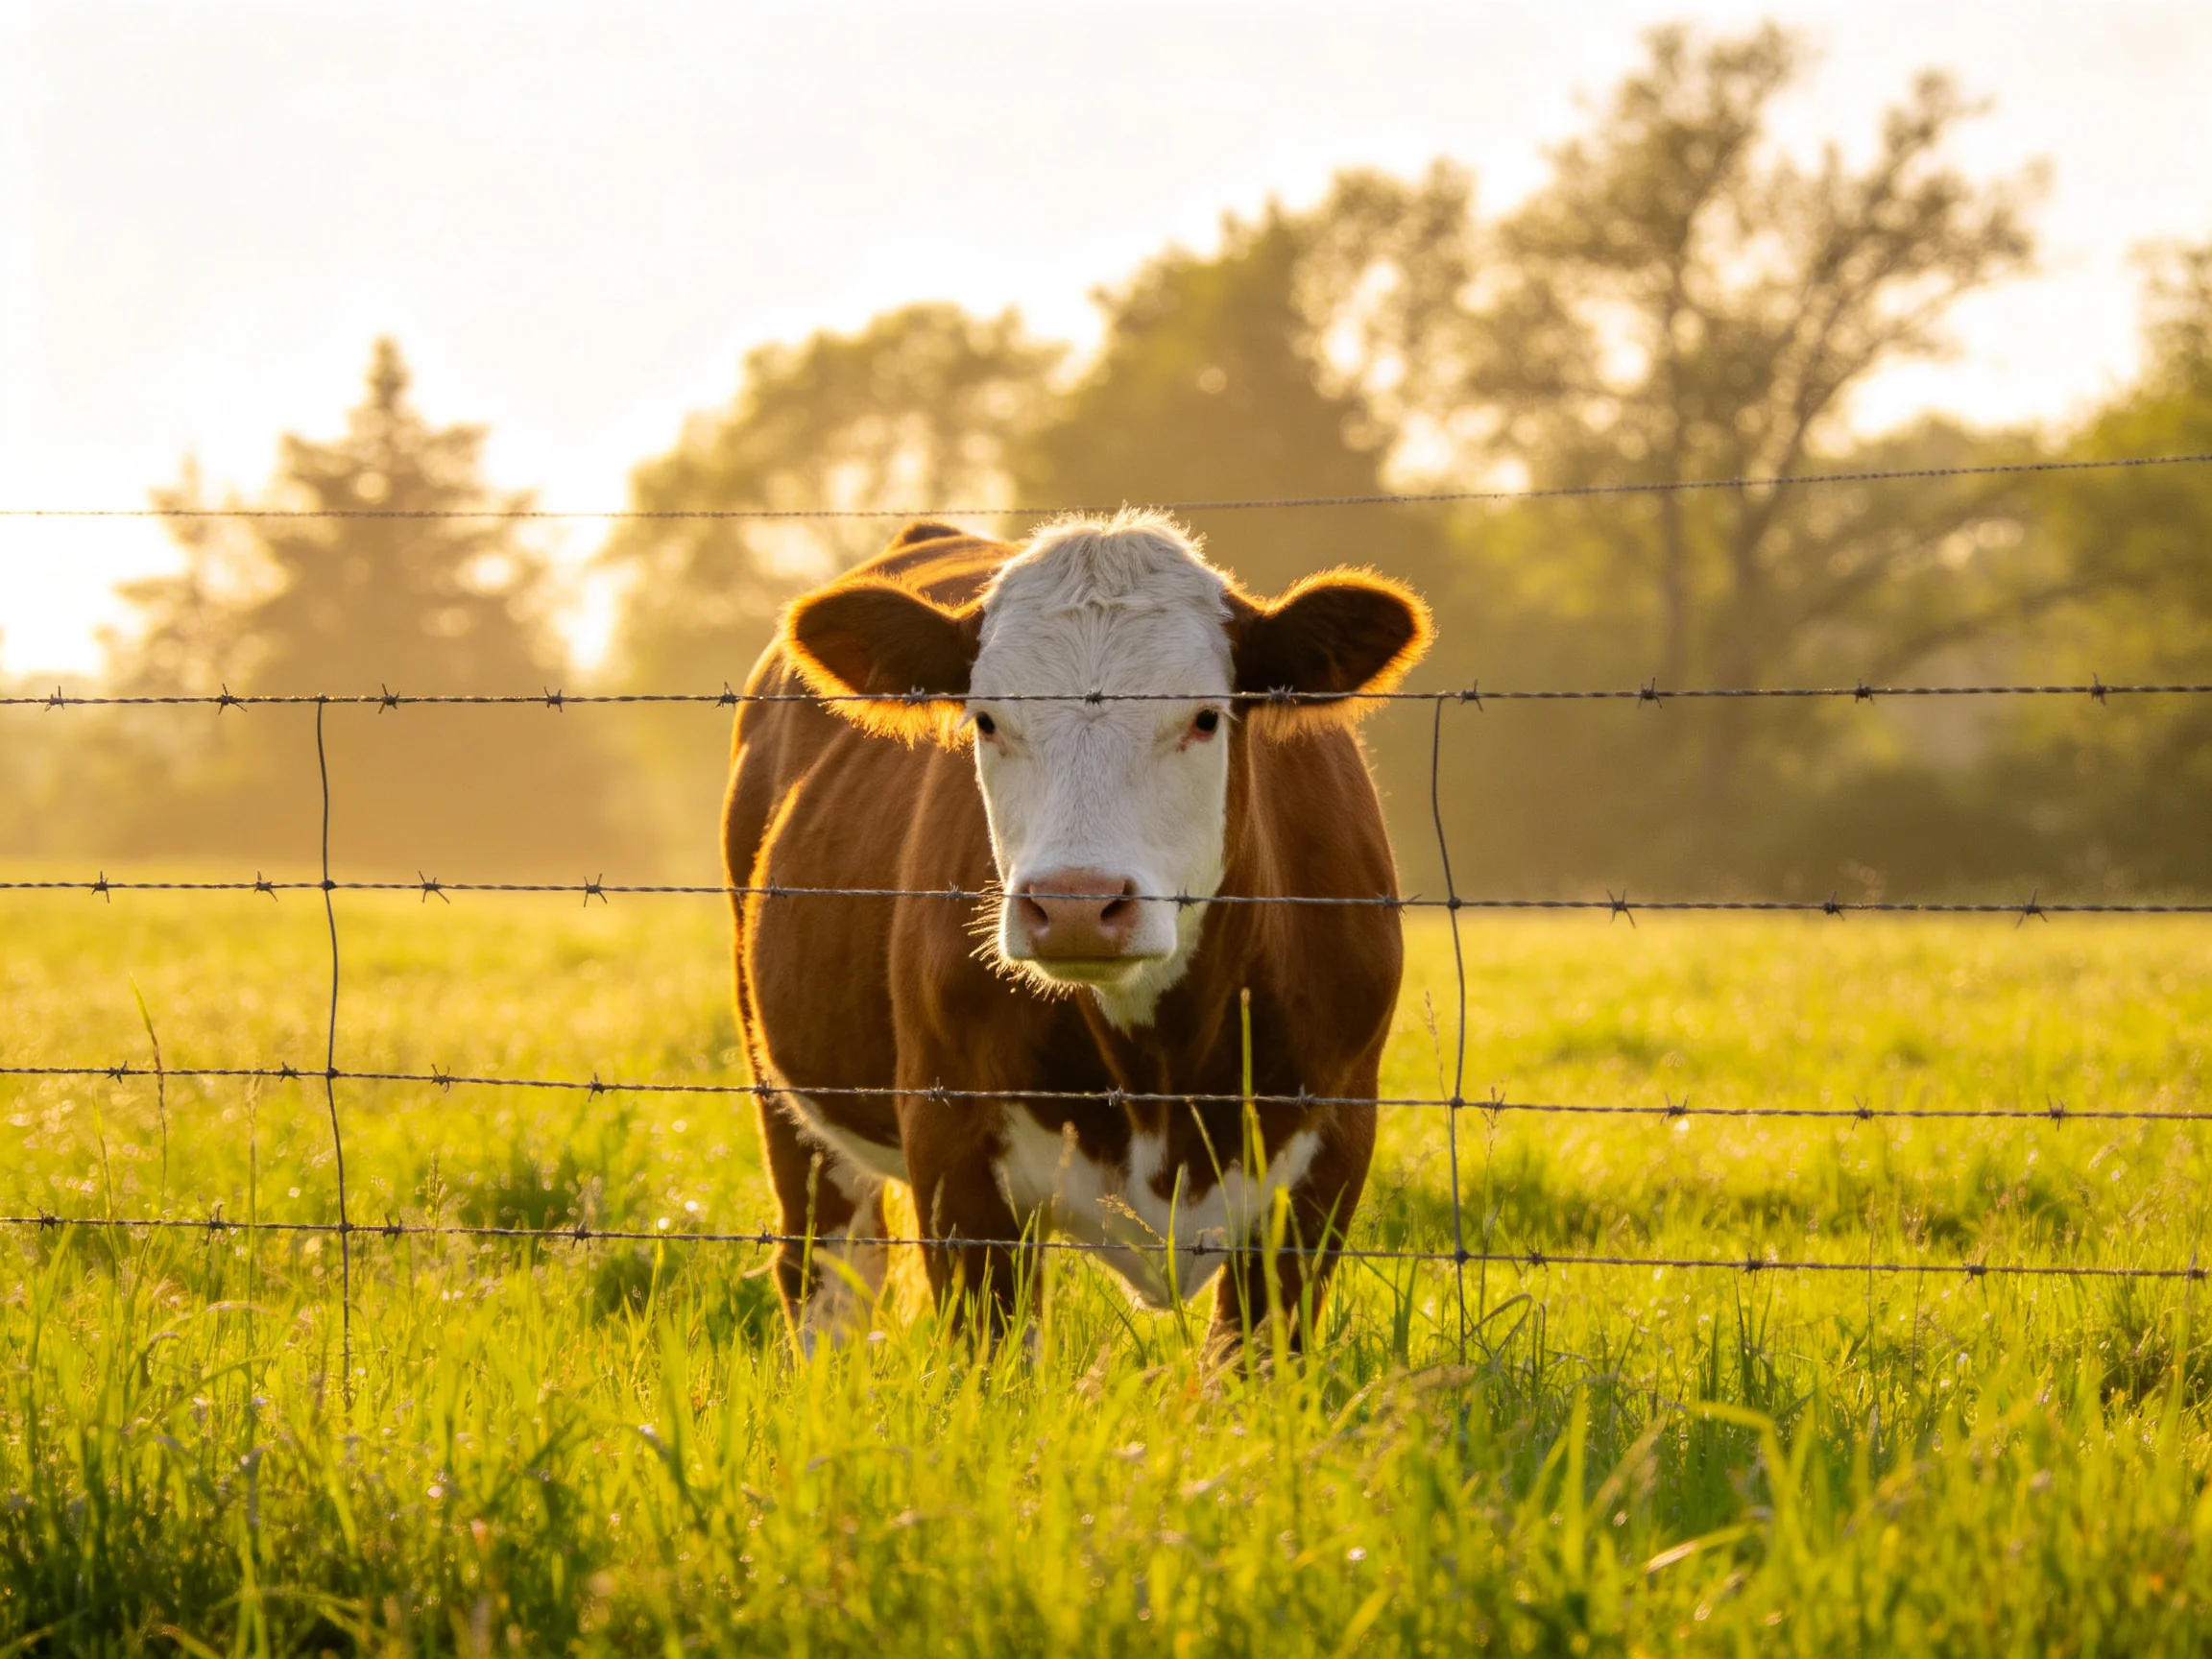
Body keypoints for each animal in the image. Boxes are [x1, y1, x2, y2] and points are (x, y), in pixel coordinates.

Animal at [721, 509, 1432, 1350]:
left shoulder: (1331, 1149)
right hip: (783, 1083)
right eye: (987, 720)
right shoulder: (952, 1147)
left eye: (1205, 717)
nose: (1073, 907)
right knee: (830, 1270)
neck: (1160, 1065)